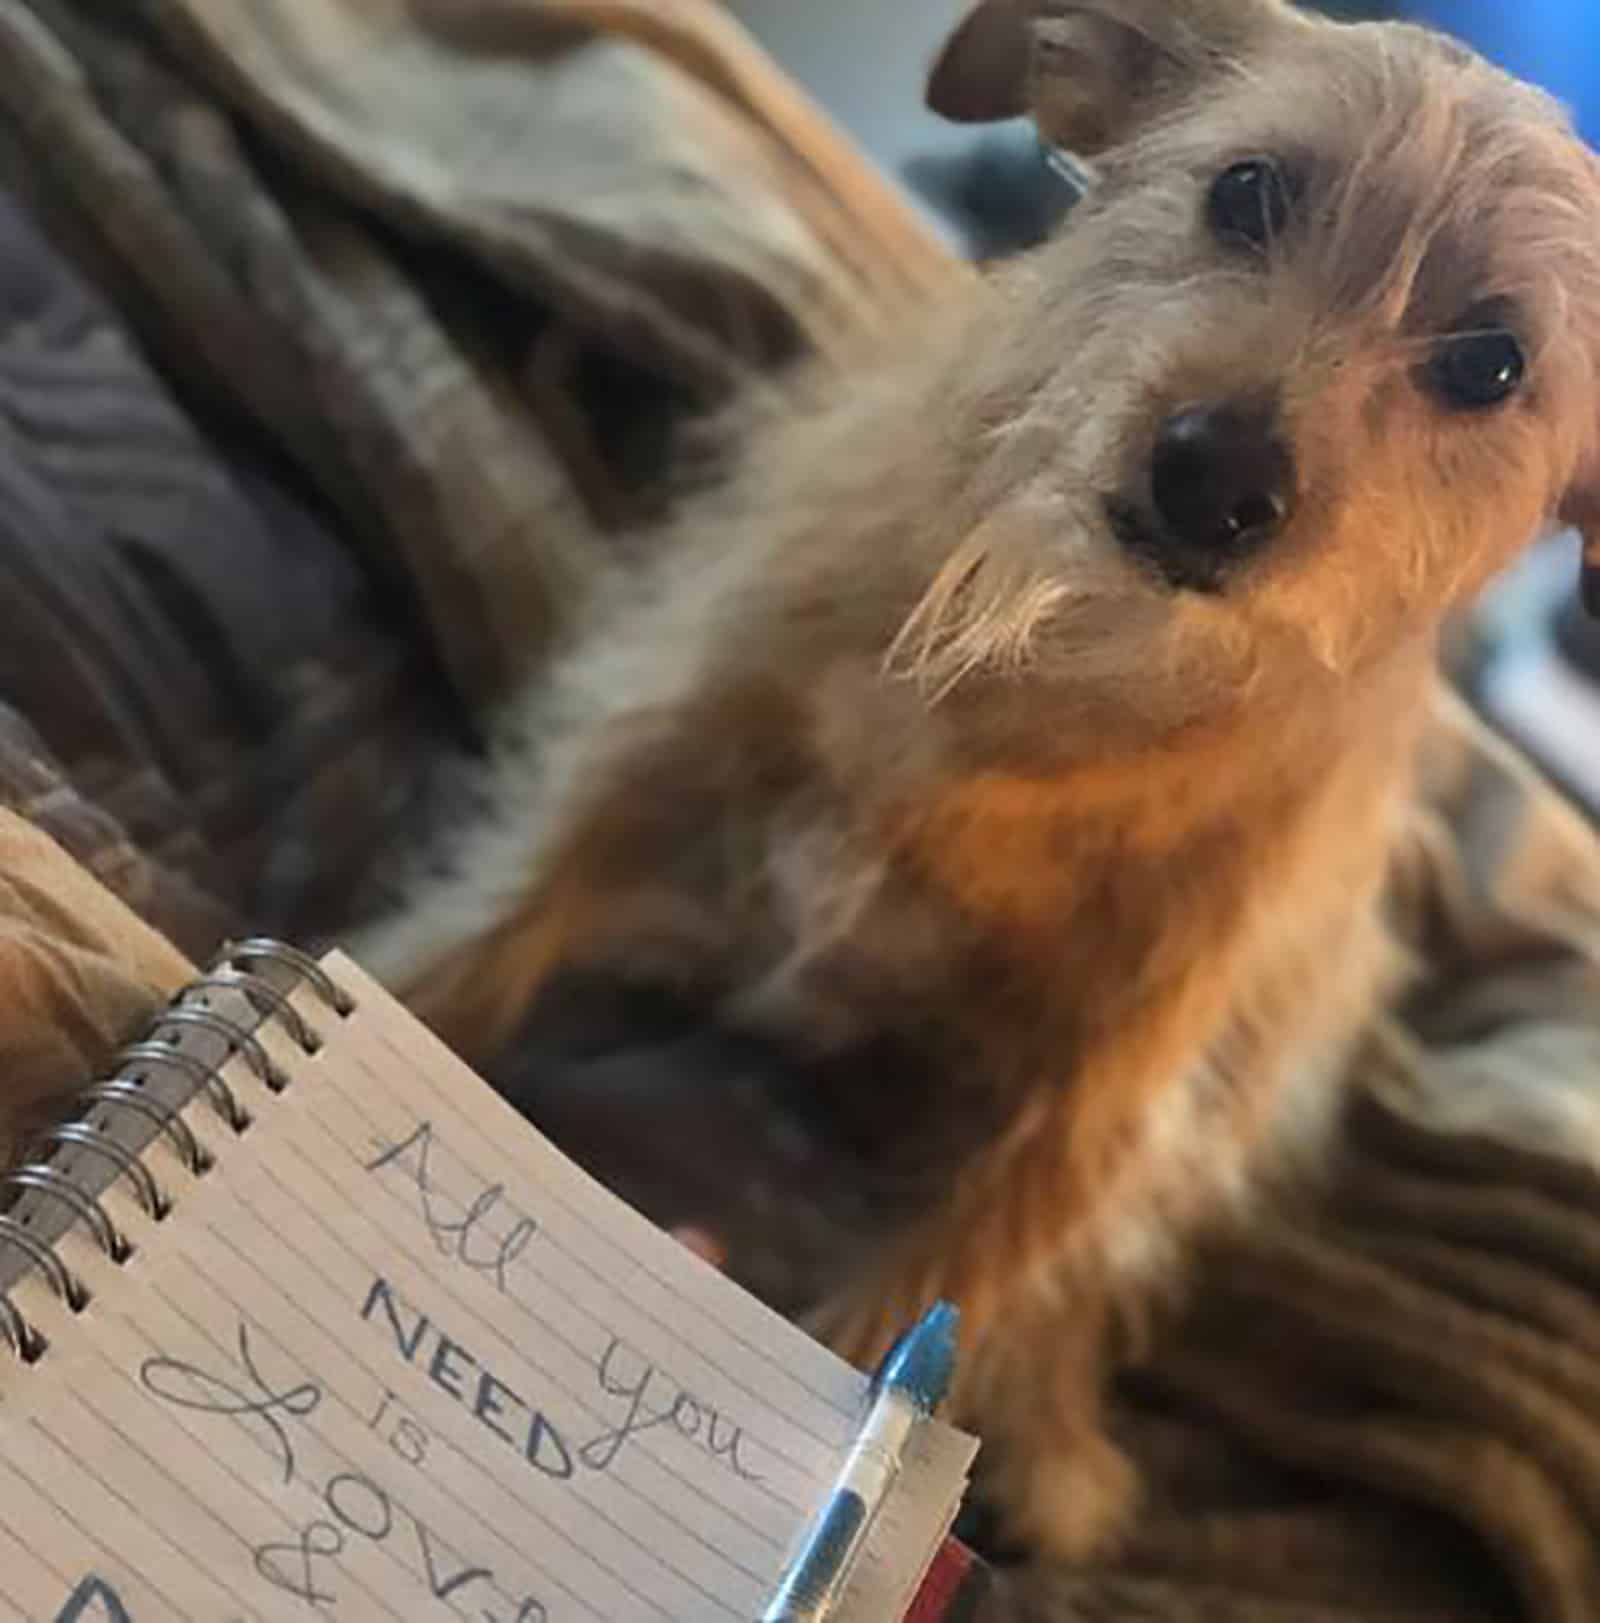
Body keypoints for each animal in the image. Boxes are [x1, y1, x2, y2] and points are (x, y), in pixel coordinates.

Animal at [365, 0, 1600, 1564]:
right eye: (1249, 191)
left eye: (1491, 362)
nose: (1215, 477)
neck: (1060, 672)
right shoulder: (662, 729)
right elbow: (488, 924)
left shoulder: (1101, 1088)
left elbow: (946, 1281)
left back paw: (1059, 1452)